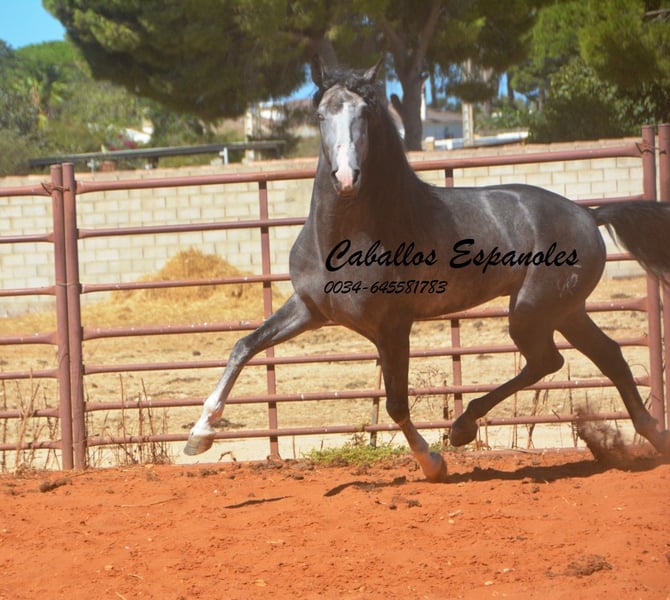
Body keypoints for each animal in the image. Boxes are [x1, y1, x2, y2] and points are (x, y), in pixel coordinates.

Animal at [185, 57, 670, 482]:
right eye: (321, 114)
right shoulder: (310, 309)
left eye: (366, 113)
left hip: (532, 311)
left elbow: (397, 405)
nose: (346, 178)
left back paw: (462, 427)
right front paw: (199, 435)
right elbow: (244, 346)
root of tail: (590, 214)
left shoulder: (393, 327)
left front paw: (433, 464)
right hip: (566, 311)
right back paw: (654, 435)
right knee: (609, 357)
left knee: (547, 360)